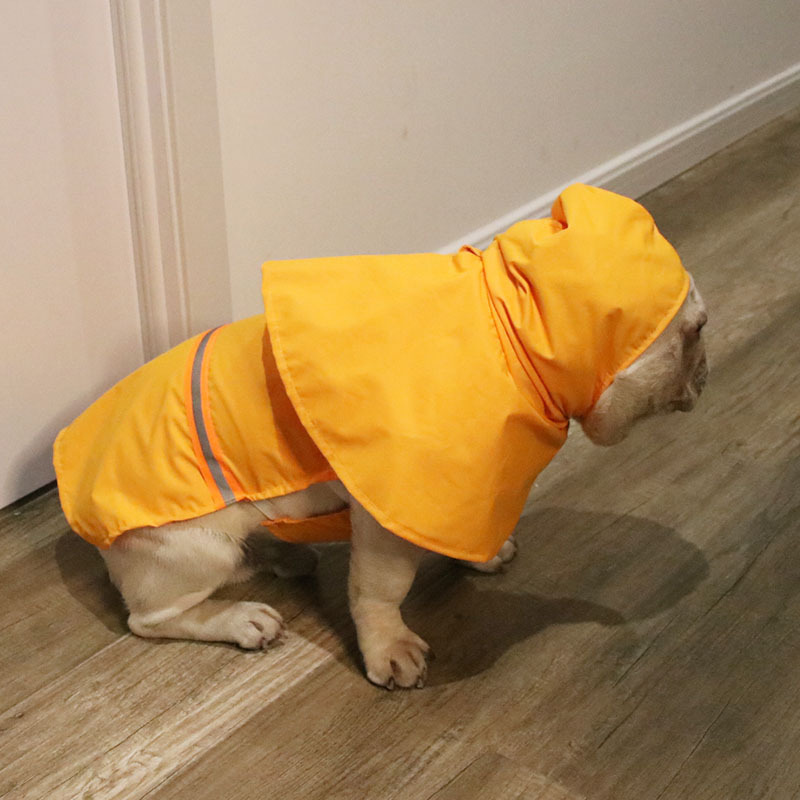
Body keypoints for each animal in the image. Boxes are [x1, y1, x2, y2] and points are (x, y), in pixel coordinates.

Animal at [55, 185, 708, 689]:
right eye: (697, 331)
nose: (707, 371)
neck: (511, 324)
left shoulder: (449, 493)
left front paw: (482, 554)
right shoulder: (387, 521)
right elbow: (380, 589)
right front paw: (389, 648)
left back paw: (282, 555)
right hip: (193, 550)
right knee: (151, 618)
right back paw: (240, 619)